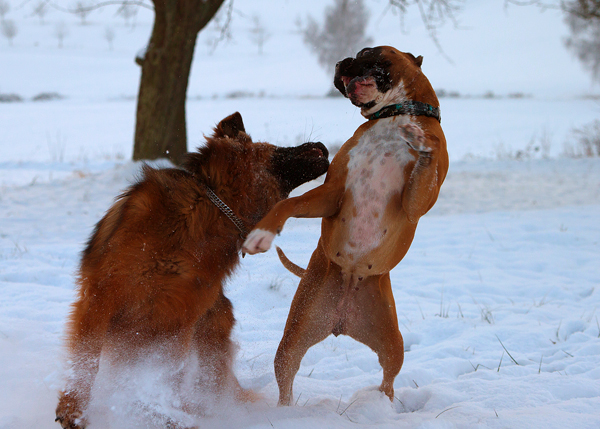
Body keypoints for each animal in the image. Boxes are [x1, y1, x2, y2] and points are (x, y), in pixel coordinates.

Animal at [55, 112, 328, 426]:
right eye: (275, 147)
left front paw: (158, 410)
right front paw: (73, 407)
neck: (210, 209)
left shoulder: (177, 322)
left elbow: (161, 377)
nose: (323, 145)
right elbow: (85, 363)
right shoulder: (100, 300)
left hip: (211, 327)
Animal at [241, 47, 448, 404]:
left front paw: (421, 140)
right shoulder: (333, 193)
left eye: (367, 51)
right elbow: (287, 204)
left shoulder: (415, 203)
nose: (341, 62)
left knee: (388, 380)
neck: (392, 115)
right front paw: (261, 235)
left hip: (392, 343)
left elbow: (427, 160)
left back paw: (382, 404)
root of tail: (342, 319)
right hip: (296, 334)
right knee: (287, 377)